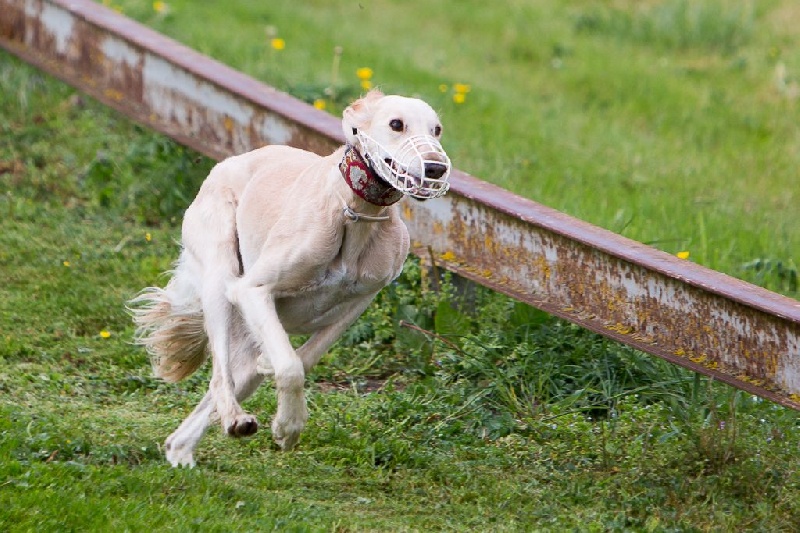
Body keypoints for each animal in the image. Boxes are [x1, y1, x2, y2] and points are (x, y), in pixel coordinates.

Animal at [134, 90, 454, 466]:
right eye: (396, 124)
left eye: (437, 129)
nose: (436, 168)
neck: (354, 213)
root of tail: (227, 163)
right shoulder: (253, 290)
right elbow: (290, 366)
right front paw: (288, 427)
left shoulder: (360, 301)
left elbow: (305, 357)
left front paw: (275, 384)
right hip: (220, 277)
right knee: (219, 378)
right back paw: (235, 419)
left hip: (250, 335)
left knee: (221, 391)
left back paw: (182, 449)